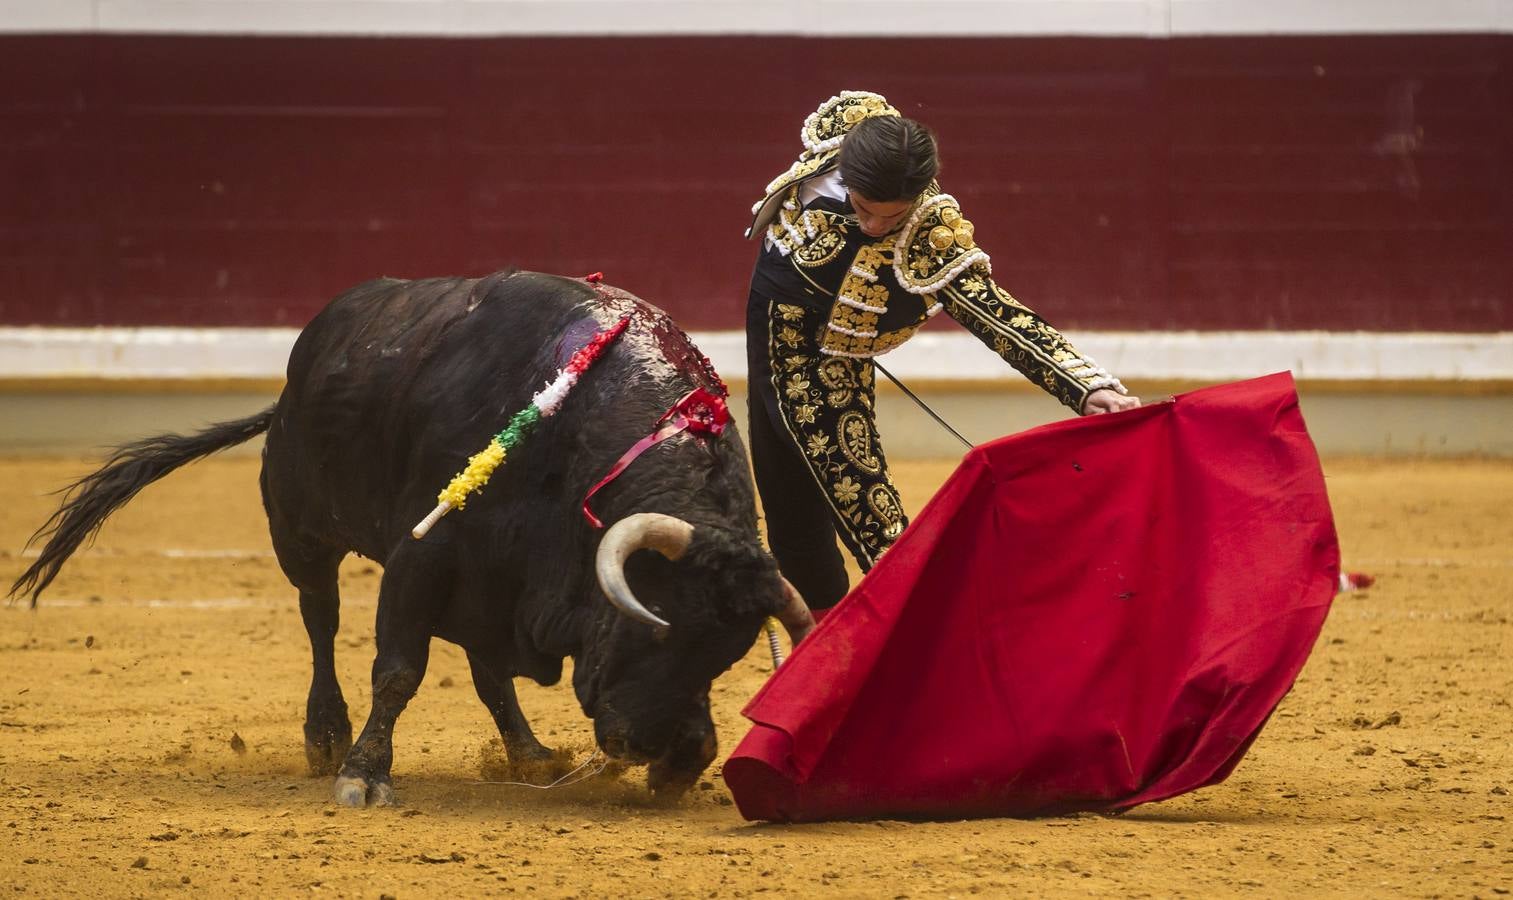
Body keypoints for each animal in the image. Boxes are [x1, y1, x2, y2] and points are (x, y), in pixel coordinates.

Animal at [8, 270, 817, 804]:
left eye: (728, 655)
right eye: (655, 628)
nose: (671, 752)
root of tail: (294, 378)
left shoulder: (493, 578)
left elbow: (473, 670)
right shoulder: (422, 556)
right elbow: (397, 669)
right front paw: (363, 776)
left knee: (486, 671)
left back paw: (528, 753)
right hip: (302, 535)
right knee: (321, 619)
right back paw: (325, 737)